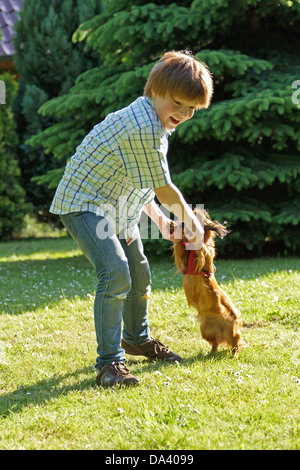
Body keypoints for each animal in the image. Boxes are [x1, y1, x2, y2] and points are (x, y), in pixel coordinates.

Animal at [172, 209, 245, 356]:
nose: (181, 223)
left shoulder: (205, 252)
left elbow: (202, 247)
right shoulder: (183, 257)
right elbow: (180, 246)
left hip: (231, 331)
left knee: (236, 344)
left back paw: (234, 355)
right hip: (205, 330)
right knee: (215, 342)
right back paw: (211, 352)